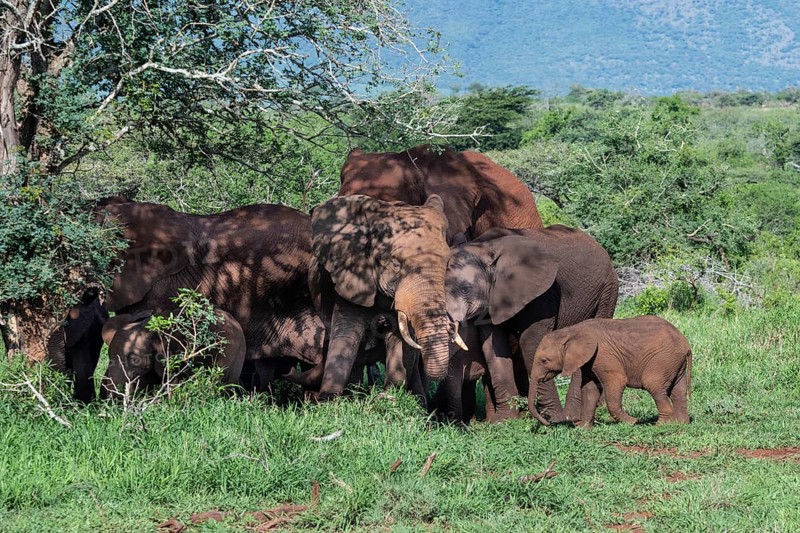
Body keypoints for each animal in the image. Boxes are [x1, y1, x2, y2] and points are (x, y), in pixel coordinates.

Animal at [442, 225, 618, 424]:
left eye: (465, 290)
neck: (485, 247)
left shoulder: (543, 294)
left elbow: (530, 343)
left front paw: (554, 419)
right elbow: (494, 349)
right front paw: (505, 421)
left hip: (607, 292)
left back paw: (573, 416)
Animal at [528, 316, 692, 428]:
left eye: (544, 360)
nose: (548, 424)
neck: (572, 330)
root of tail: (686, 344)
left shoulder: (604, 355)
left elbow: (616, 383)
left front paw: (633, 422)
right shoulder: (590, 359)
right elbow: (590, 389)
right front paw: (583, 428)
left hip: (663, 359)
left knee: (654, 385)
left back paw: (660, 425)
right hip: (674, 362)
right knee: (678, 391)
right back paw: (681, 423)